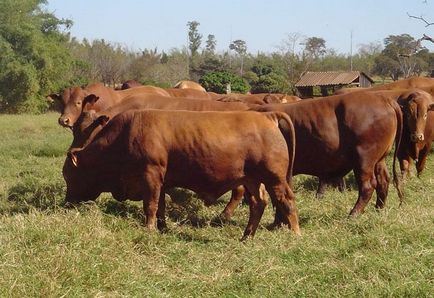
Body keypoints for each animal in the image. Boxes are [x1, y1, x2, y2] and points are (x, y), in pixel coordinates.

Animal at [64, 110, 300, 240]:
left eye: (68, 175)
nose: (67, 203)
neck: (125, 134)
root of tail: (268, 116)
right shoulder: (160, 181)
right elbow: (160, 206)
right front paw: (161, 227)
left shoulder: (150, 174)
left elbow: (150, 205)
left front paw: (149, 229)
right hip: (252, 180)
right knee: (258, 204)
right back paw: (247, 236)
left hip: (274, 179)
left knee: (287, 201)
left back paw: (295, 234)